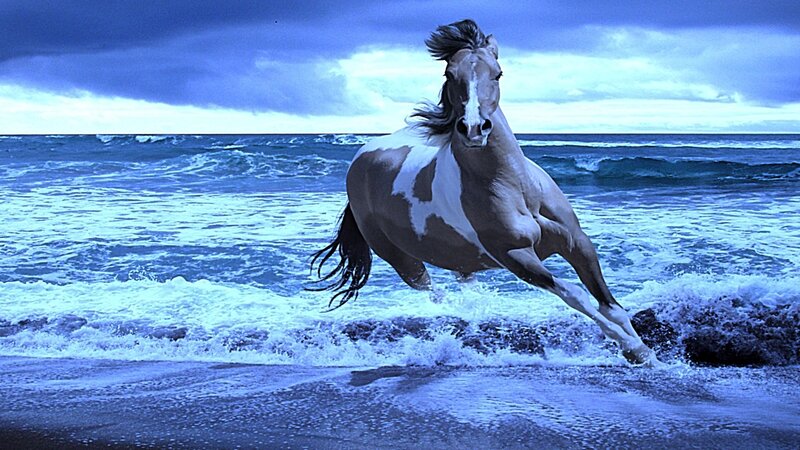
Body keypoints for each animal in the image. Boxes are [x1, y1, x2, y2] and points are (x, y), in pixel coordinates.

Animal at [310, 19, 656, 365]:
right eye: (450, 74)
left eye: (498, 73)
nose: (475, 128)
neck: (517, 189)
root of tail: (360, 159)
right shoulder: (516, 256)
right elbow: (576, 295)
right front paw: (635, 349)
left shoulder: (577, 243)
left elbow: (611, 306)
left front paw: (647, 353)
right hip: (401, 259)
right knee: (435, 293)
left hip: (459, 260)